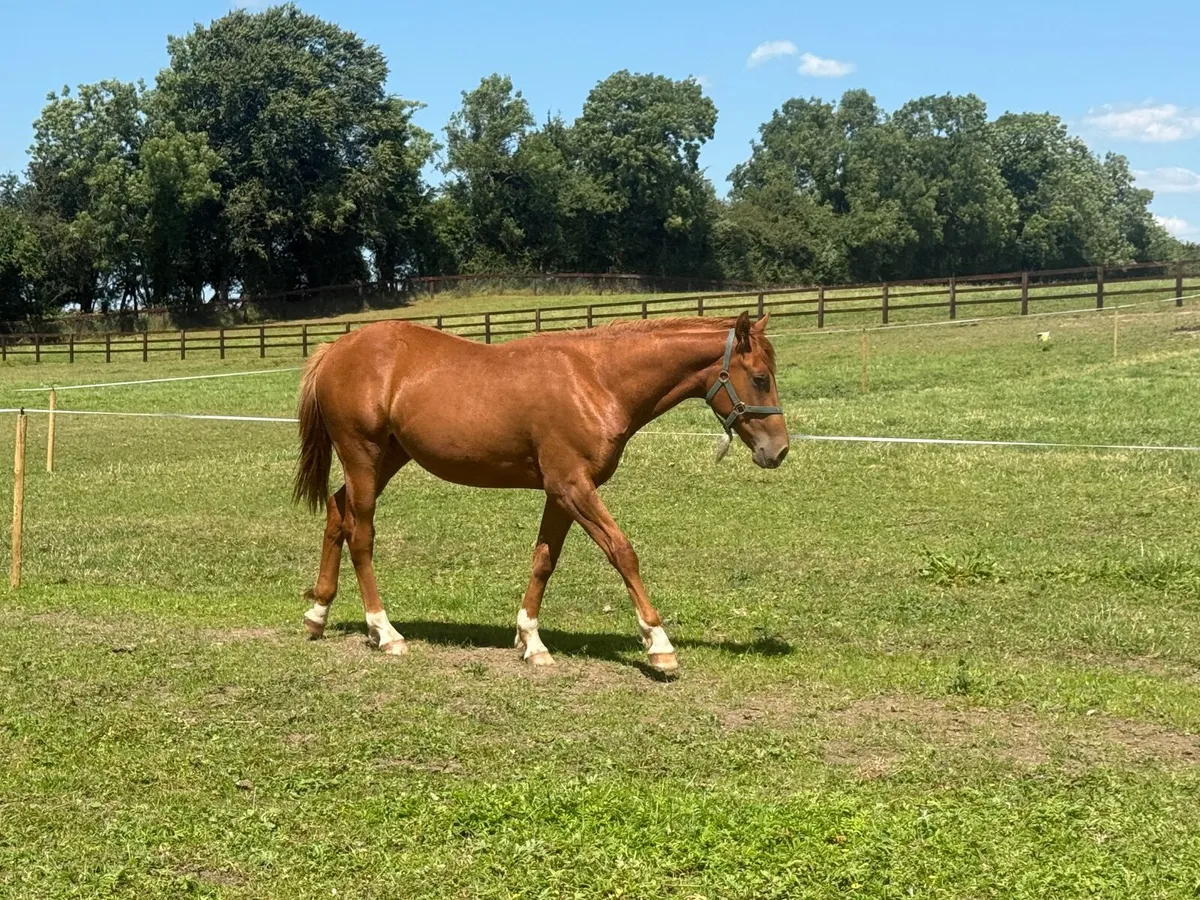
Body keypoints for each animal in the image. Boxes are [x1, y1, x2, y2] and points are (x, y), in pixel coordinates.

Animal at [292, 310, 789, 675]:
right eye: (760, 377)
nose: (779, 450)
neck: (597, 379)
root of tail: (336, 349)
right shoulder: (573, 488)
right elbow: (623, 552)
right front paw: (659, 644)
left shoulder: (561, 493)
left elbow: (544, 561)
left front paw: (530, 641)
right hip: (364, 456)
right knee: (361, 535)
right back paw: (386, 633)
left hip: (386, 460)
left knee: (336, 513)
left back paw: (318, 615)